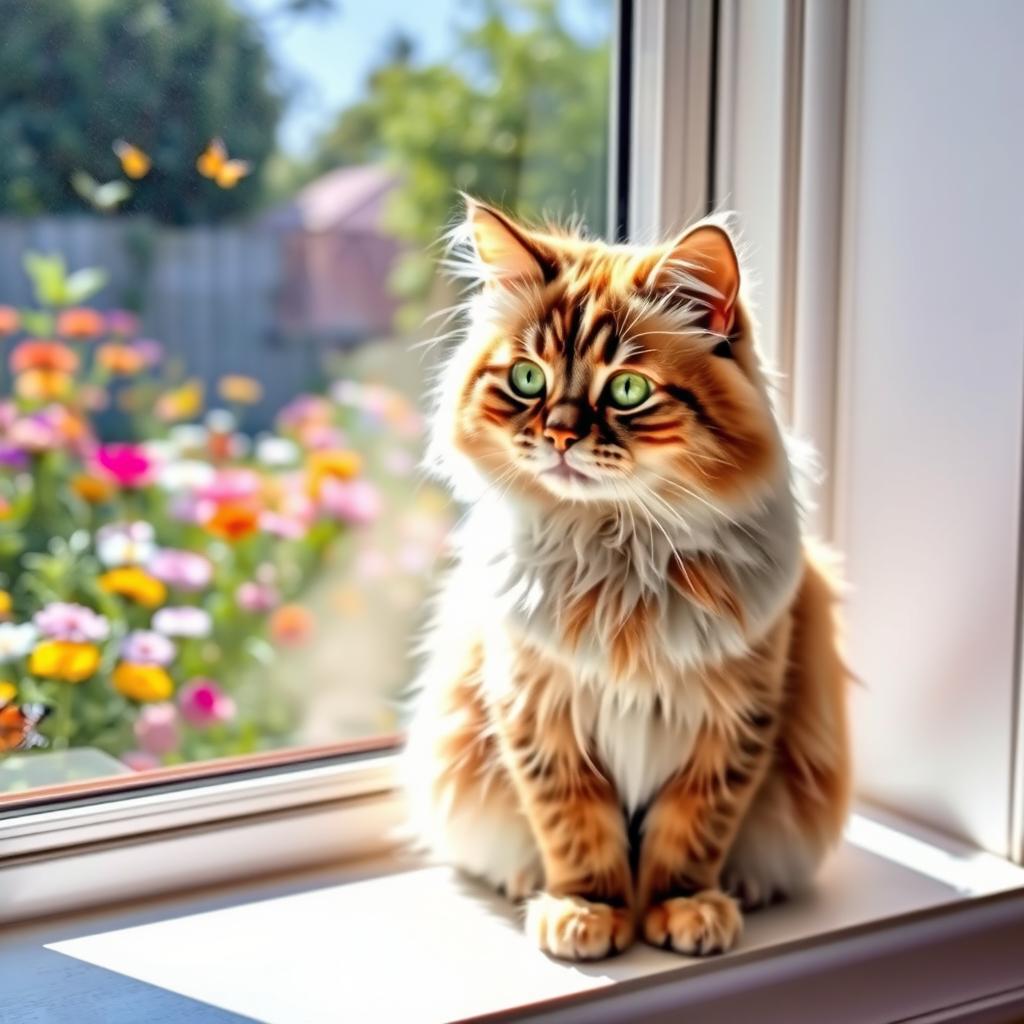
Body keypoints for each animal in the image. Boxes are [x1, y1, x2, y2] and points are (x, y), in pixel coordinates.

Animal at [403, 197, 851, 958]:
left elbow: (693, 832)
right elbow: (575, 830)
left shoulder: (735, 721)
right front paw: (586, 912)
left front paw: (686, 909)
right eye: (528, 380)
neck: (620, 547)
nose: (558, 435)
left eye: (627, 390)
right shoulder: (538, 713)